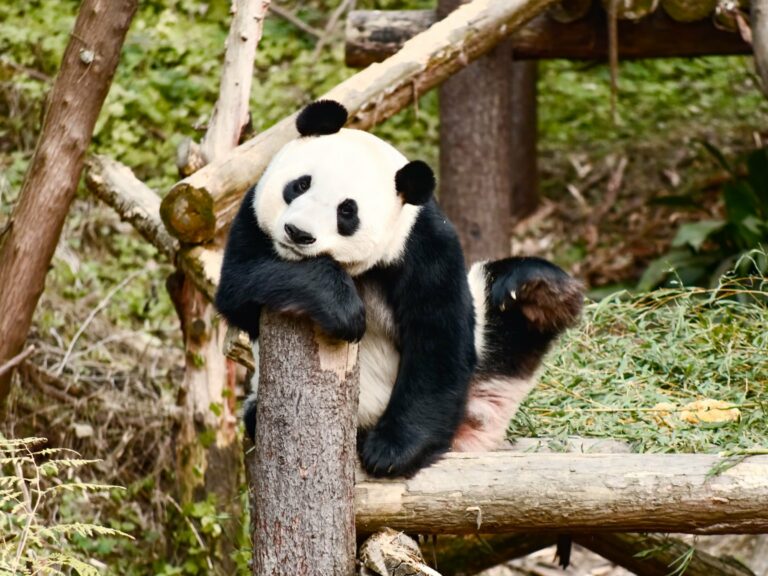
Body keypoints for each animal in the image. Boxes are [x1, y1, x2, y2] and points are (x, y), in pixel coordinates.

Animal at [215, 100, 583, 478]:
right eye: (300, 185)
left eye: (347, 212)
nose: (298, 233)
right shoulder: (251, 215)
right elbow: (240, 284)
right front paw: (343, 310)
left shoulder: (424, 245)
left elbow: (437, 338)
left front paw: (391, 452)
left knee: (502, 322)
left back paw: (538, 294)